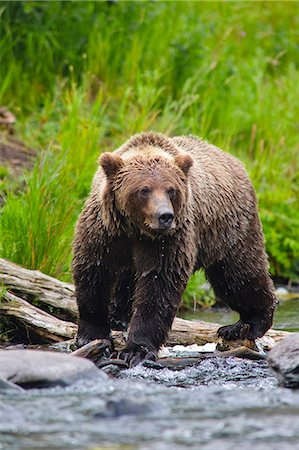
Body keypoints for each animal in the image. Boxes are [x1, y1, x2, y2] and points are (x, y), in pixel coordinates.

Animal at [72, 130, 276, 366]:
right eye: (143, 190)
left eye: (171, 190)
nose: (165, 216)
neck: (136, 229)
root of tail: (235, 160)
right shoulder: (104, 231)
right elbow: (94, 273)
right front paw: (91, 336)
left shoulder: (169, 241)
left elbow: (159, 284)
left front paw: (136, 349)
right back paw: (119, 317)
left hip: (230, 231)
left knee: (239, 276)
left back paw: (246, 324)